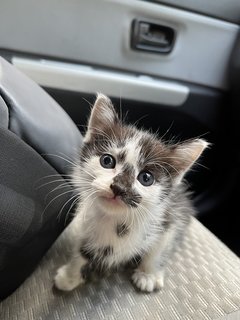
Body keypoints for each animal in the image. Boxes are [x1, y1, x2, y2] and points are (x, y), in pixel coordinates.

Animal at [54, 93, 208, 292]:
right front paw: (70, 275)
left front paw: (148, 274)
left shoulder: (172, 216)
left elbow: (159, 248)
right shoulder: (84, 221)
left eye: (146, 178)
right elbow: (82, 250)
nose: (119, 188)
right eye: (107, 161)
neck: (117, 220)